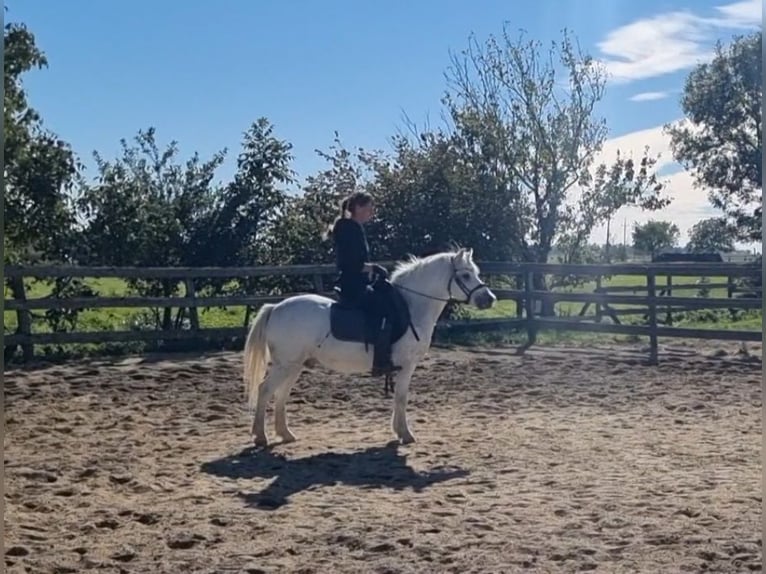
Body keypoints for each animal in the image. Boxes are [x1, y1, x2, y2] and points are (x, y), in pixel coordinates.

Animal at [242, 247, 497, 446]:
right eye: (466, 275)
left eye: (476, 273)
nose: (490, 299)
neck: (412, 307)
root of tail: (276, 308)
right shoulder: (407, 365)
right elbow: (401, 398)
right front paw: (405, 434)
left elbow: (398, 398)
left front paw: (398, 431)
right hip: (285, 365)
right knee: (265, 390)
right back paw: (261, 437)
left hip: (294, 365)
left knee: (281, 394)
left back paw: (285, 434)